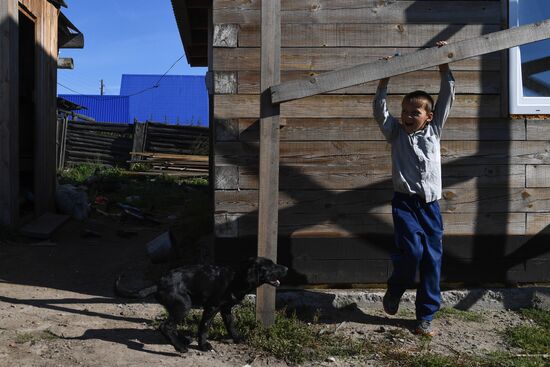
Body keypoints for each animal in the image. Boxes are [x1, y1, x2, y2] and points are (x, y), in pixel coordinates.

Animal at [116, 258, 288, 352]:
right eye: (271, 266)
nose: (286, 268)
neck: (237, 279)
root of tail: (158, 284)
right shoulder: (212, 307)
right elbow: (204, 326)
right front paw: (203, 346)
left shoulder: (226, 309)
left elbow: (231, 325)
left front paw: (238, 338)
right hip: (183, 305)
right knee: (166, 326)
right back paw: (180, 347)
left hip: (177, 307)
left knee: (171, 326)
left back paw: (183, 340)